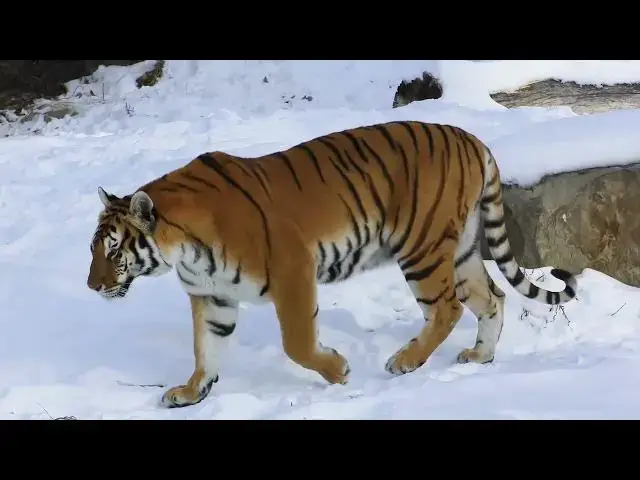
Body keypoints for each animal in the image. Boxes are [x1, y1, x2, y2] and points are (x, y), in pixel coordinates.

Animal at [87, 120, 577, 409]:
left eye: (112, 250)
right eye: (93, 249)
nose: (92, 287)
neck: (180, 251)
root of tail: (472, 139)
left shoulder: (292, 271)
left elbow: (297, 343)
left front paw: (338, 370)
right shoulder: (212, 296)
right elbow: (205, 349)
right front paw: (191, 391)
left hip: (422, 248)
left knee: (447, 308)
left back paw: (404, 361)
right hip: (460, 250)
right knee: (491, 298)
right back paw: (479, 356)